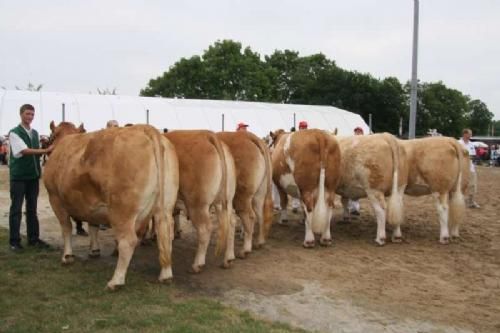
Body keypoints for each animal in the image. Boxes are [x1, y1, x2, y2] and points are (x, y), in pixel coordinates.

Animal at [43, 122, 179, 288]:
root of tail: (146, 128)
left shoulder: (55, 198)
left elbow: (66, 228)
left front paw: (67, 256)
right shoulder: (91, 206)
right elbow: (93, 226)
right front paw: (94, 250)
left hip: (122, 210)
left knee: (128, 241)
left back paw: (116, 281)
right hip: (165, 207)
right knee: (165, 233)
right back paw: (166, 274)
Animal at [164, 128, 234, 272]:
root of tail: (207, 134)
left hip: (197, 204)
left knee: (205, 229)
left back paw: (197, 264)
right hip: (225, 201)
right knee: (230, 223)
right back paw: (228, 260)